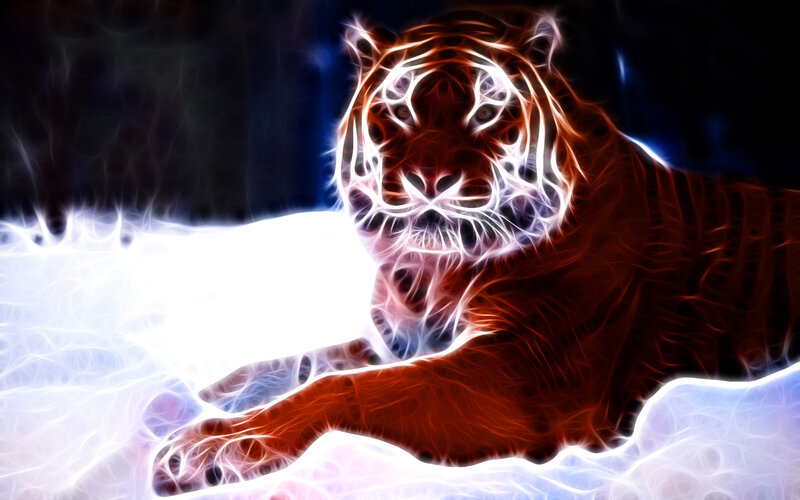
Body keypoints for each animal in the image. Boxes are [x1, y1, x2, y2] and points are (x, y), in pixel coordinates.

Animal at [152, 10, 800, 494]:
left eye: (487, 112)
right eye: (400, 108)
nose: (430, 178)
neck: (432, 272)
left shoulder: (522, 375)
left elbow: (351, 389)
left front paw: (208, 448)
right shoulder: (400, 338)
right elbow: (309, 360)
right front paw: (218, 392)